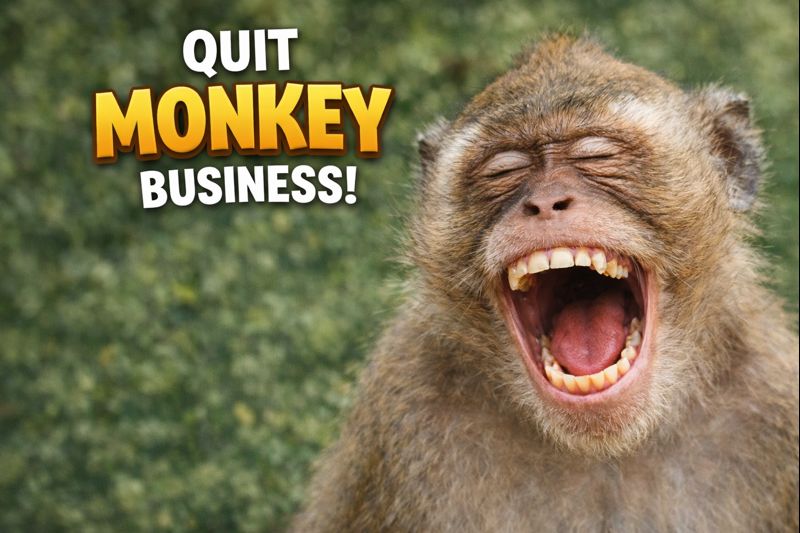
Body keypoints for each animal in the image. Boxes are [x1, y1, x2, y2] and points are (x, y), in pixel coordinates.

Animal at [292, 36, 799, 532]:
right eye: (503, 170)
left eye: (598, 154)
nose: (547, 202)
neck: (604, 446)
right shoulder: (403, 411)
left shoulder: (774, 392)